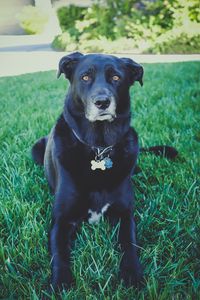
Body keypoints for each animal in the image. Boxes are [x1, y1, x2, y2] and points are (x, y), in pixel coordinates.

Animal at [32, 52, 177, 290]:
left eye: (116, 78)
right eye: (85, 77)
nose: (102, 102)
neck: (98, 147)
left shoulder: (125, 215)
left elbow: (129, 244)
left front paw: (132, 274)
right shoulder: (61, 220)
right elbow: (59, 254)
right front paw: (61, 282)